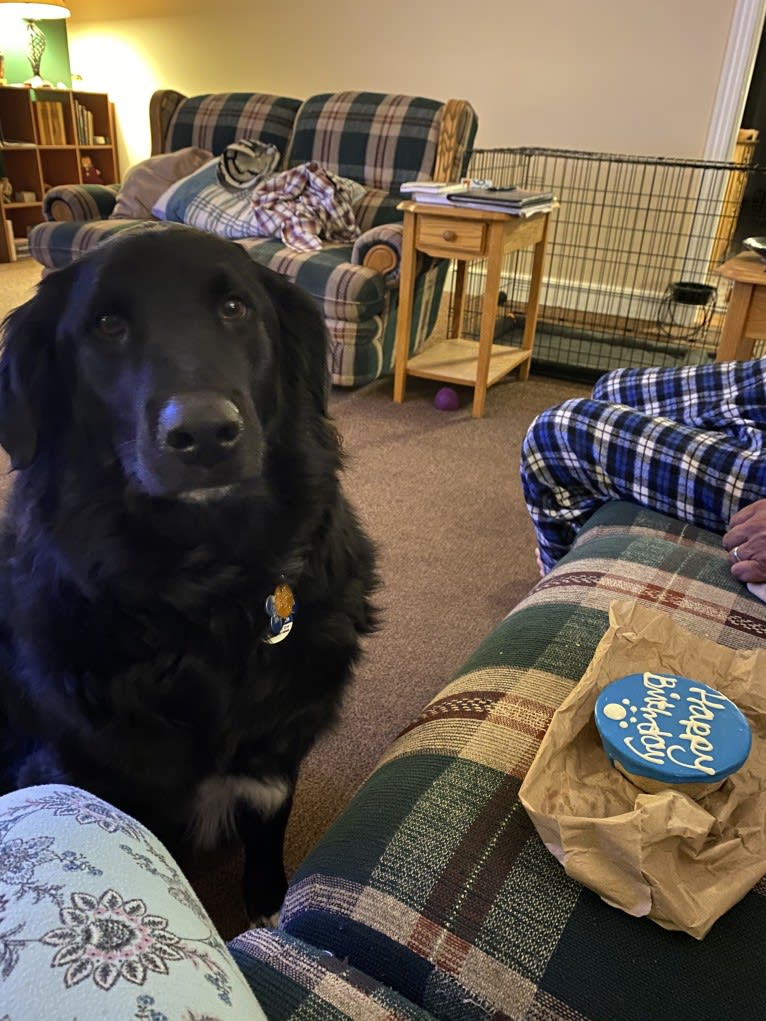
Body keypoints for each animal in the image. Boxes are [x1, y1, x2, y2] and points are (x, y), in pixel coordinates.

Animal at [0, 227, 379, 922]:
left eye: (234, 308)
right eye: (107, 324)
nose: (204, 434)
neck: (206, 588)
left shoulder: (275, 751)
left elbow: (268, 828)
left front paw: (267, 905)